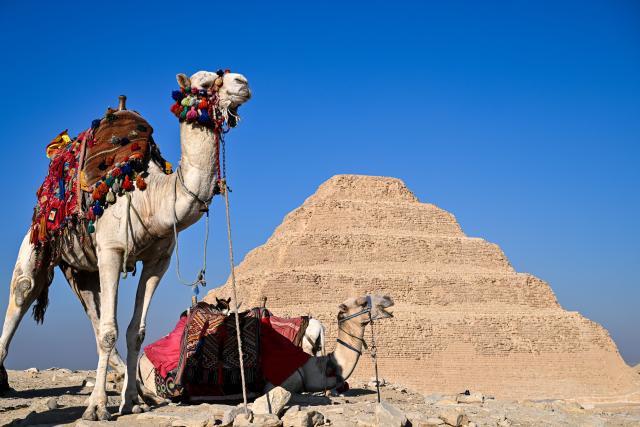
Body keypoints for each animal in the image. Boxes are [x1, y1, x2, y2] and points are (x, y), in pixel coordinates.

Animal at [0, 70, 251, 421]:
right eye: (203, 84)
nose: (242, 82)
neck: (152, 198)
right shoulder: (112, 251)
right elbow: (110, 330)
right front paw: (96, 408)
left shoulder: (158, 260)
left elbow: (135, 331)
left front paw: (132, 399)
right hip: (39, 241)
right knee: (22, 292)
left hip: (79, 270)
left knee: (90, 309)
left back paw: (137, 390)